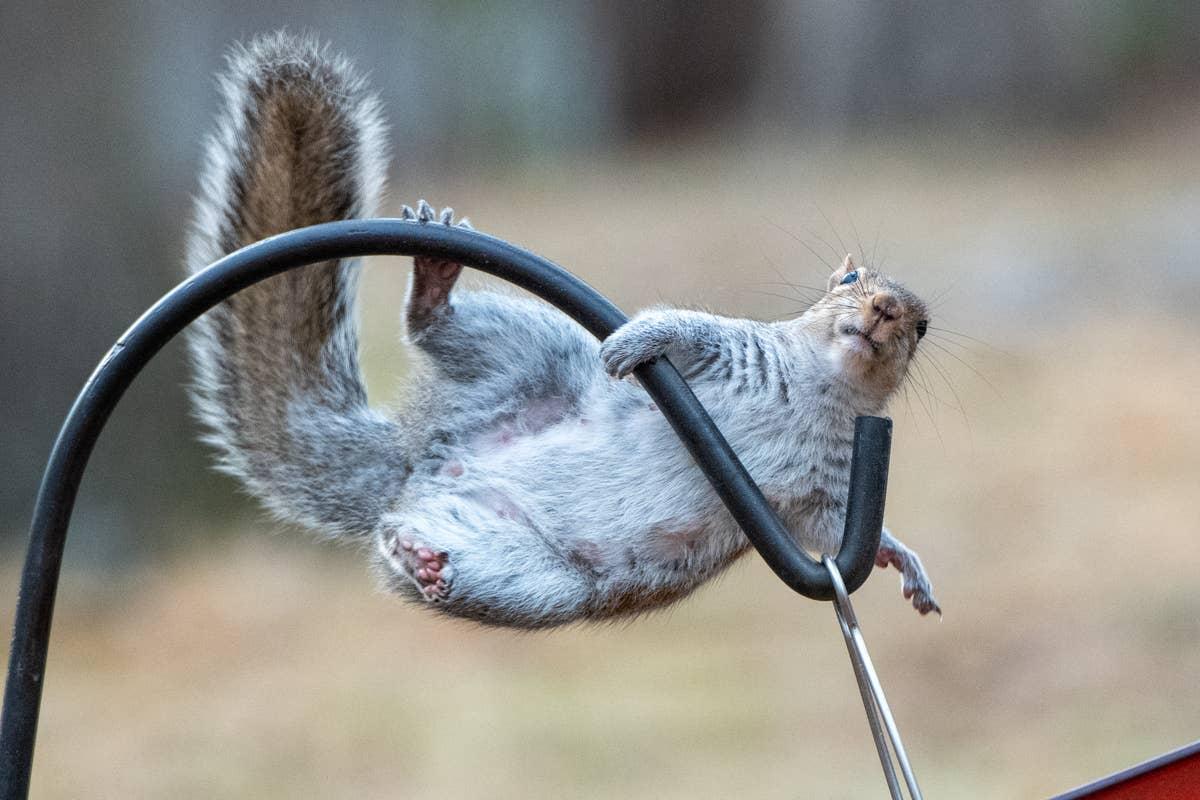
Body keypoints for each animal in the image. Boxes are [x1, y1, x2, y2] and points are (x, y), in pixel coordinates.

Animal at [186, 32, 940, 629]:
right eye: (849, 280)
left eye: (924, 328)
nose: (884, 312)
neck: (821, 389)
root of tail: (419, 461)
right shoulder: (726, 347)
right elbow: (679, 329)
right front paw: (634, 344)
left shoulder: (823, 497)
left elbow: (841, 534)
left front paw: (902, 558)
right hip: (523, 349)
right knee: (432, 331)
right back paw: (434, 283)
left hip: (530, 578)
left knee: (444, 557)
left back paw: (424, 560)